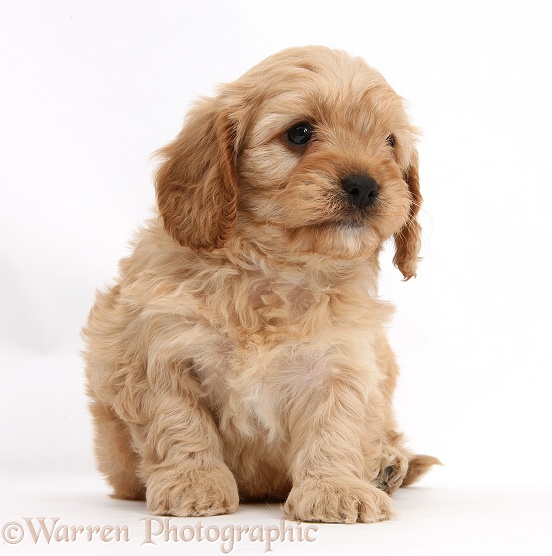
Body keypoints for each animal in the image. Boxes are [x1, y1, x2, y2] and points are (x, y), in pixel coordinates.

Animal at [82, 45, 438, 524]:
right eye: (300, 133)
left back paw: (386, 465)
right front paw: (194, 483)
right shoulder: (158, 354)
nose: (365, 186)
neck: (275, 271)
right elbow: (179, 423)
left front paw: (336, 489)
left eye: (389, 142)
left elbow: (336, 427)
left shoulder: (342, 360)